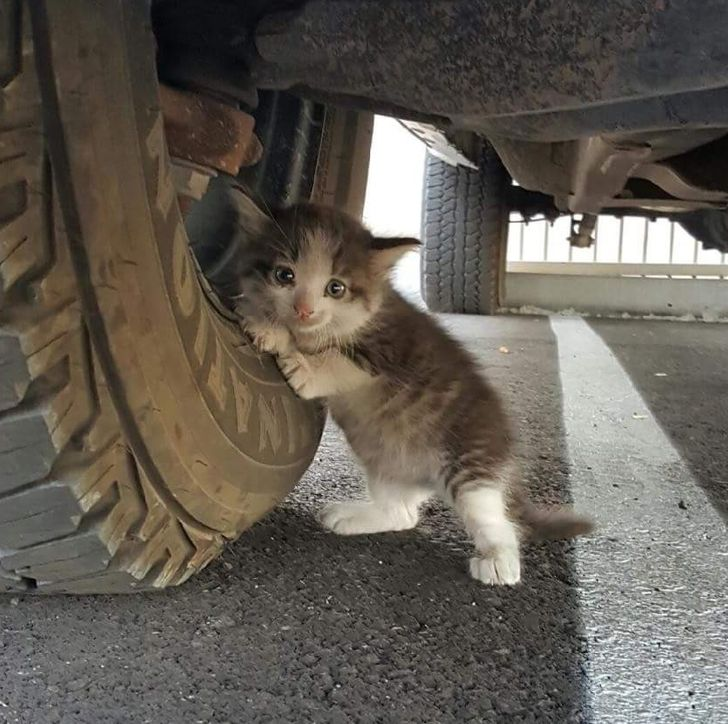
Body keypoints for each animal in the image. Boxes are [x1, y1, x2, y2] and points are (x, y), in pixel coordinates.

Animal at [226, 195, 592, 584]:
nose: (304, 309)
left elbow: (335, 359)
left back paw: (499, 560)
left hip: (470, 461)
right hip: (386, 464)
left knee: (494, 518)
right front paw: (265, 320)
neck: (363, 317)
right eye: (285, 275)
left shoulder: (391, 350)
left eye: (335, 287)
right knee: (403, 515)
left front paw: (291, 350)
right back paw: (354, 516)